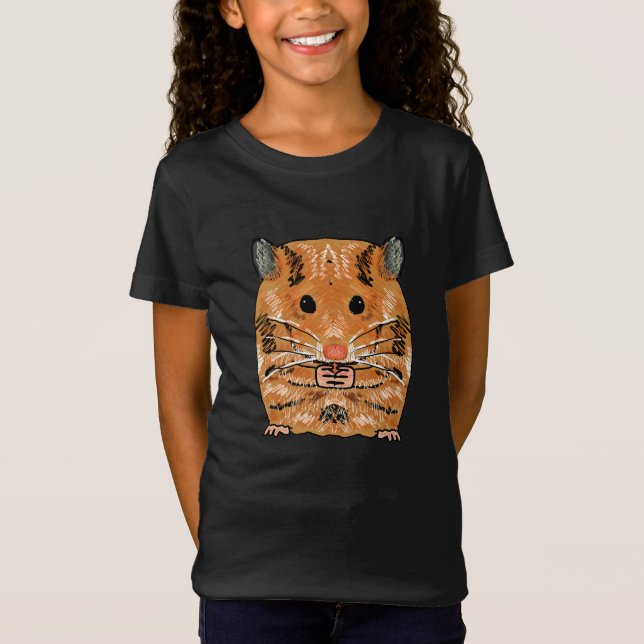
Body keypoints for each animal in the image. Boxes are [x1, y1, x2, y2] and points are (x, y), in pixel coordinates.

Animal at [251, 236, 412, 441]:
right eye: (306, 303)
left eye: (358, 304)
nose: (335, 353)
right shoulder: (275, 352)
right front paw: (325, 374)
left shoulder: (392, 353)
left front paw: (343, 376)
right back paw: (277, 428)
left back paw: (387, 432)